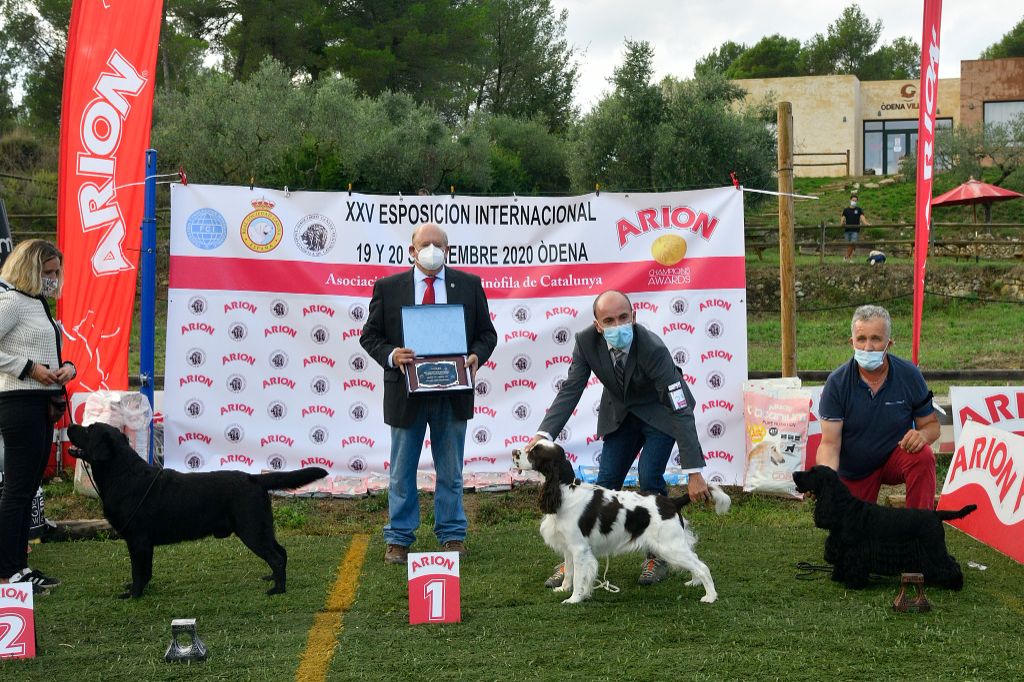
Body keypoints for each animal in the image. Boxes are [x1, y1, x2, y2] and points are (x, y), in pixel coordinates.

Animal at [69, 419, 323, 593]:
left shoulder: (137, 539)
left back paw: (277, 589)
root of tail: (254, 478)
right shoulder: (143, 543)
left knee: (277, 557)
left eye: (89, 429)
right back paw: (273, 579)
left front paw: (134, 593)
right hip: (261, 527)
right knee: (281, 552)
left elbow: (138, 570)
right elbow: (146, 570)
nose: (70, 425)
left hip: (251, 529)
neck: (122, 474)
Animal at [790, 464, 974, 585]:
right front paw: (837, 577)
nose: (793, 473)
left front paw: (854, 583)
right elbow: (840, 563)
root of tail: (936, 513)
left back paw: (956, 584)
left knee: (950, 564)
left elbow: (854, 565)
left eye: (813, 472)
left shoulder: (854, 548)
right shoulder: (841, 547)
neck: (843, 508)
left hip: (933, 546)